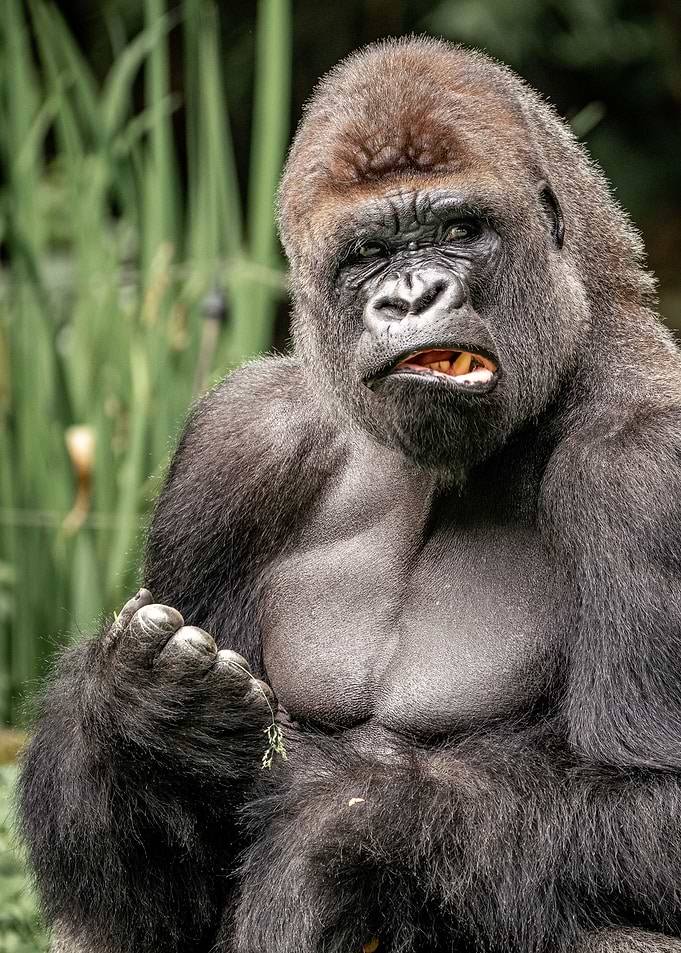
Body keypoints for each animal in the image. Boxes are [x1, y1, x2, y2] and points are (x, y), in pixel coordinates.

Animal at [19, 37, 681, 953]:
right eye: (367, 253)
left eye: (457, 229)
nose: (410, 297)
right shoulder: (233, 441)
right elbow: (149, 907)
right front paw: (143, 718)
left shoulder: (648, 466)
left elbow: (655, 796)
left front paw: (345, 815)